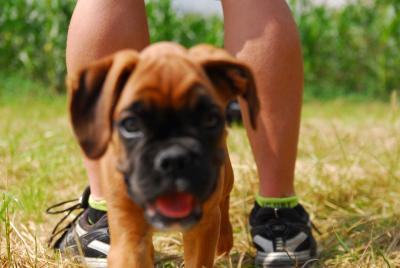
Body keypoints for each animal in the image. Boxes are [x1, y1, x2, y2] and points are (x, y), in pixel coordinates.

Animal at [67, 43, 258, 266]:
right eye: (131, 125)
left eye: (210, 119)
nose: (175, 158)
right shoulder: (128, 237)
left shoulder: (201, 231)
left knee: (224, 201)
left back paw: (225, 238)